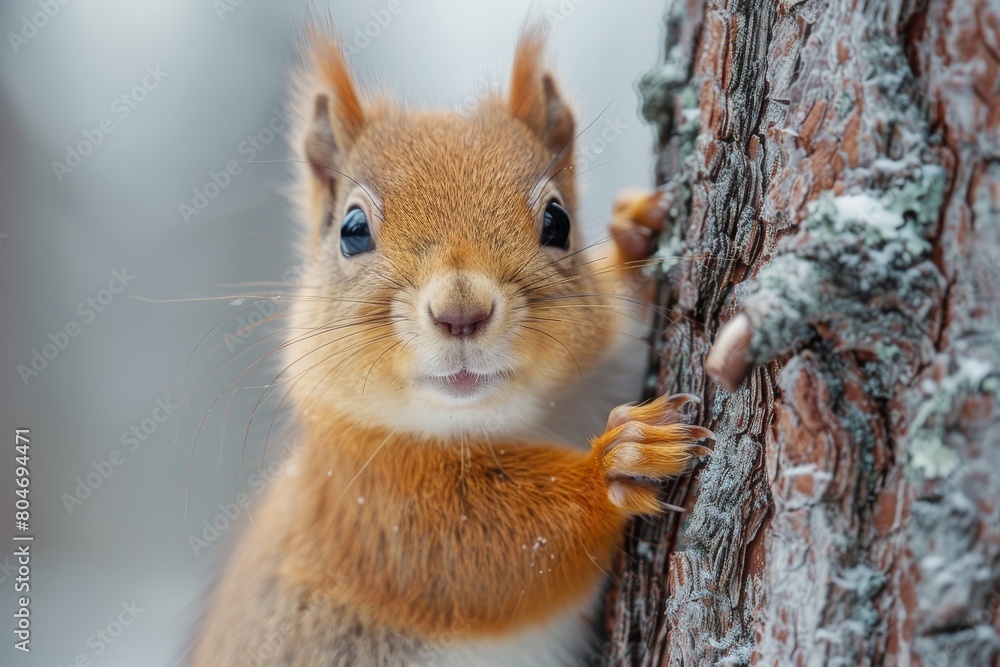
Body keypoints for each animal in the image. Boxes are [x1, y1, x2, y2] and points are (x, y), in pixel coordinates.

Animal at [187, 22, 713, 667]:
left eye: (558, 221)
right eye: (352, 230)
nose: (461, 312)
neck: (517, 418)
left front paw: (635, 239)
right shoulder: (367, 505)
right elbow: (479, 552)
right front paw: (621, 461)